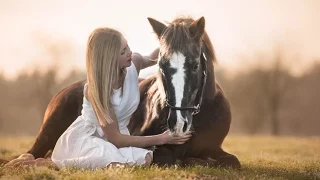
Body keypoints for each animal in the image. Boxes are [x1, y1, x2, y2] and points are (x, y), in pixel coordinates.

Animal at [0, 16, 240, 168]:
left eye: (195, 65)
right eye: (162, 65)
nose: (178, 124)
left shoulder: (214, 148)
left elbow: (232, 162)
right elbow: (170, 157)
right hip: (47, 135)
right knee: (34, 154)